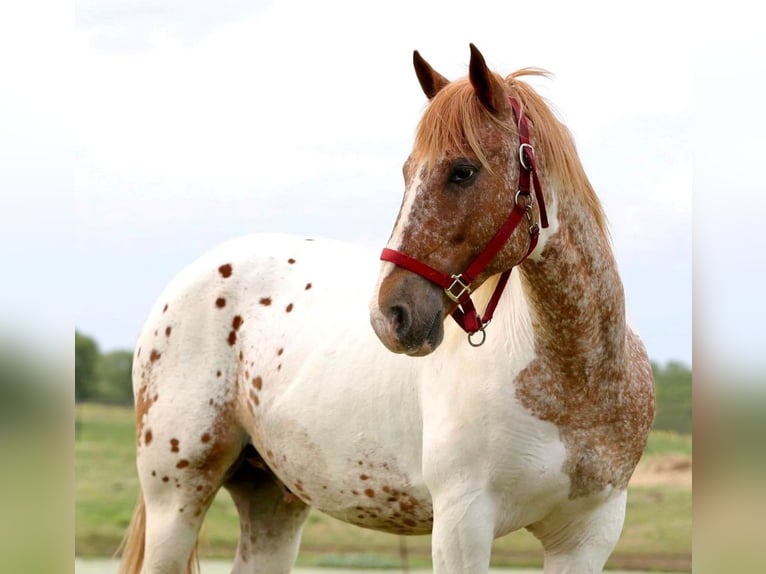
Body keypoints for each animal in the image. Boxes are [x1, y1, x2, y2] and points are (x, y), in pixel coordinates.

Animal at [118, 45, 656, 574]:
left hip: (273, 499)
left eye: (463, 170)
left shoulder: (585, 538)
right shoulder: (462, 526)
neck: (574, 381)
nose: (389, 316)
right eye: (407, 172)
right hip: (177, 500)